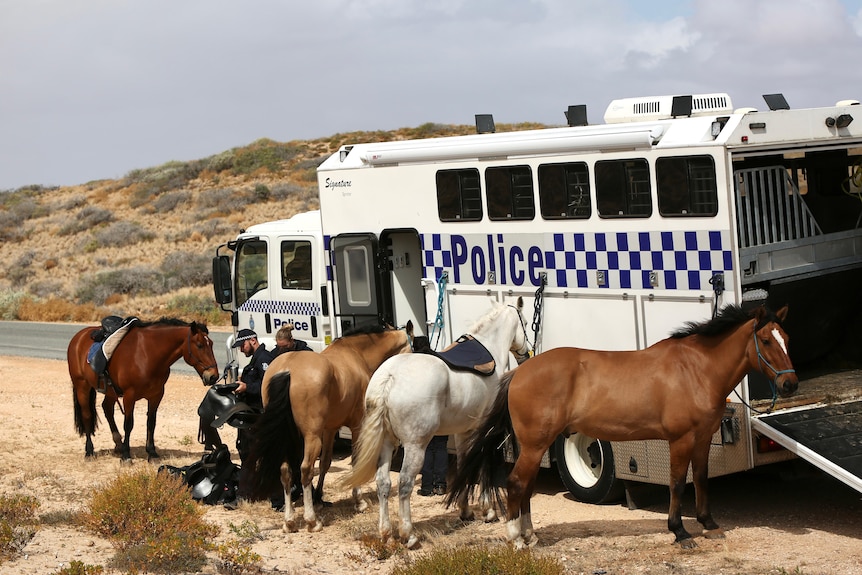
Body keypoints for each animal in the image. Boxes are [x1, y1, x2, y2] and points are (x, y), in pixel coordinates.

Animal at [69, 318, 221, 462]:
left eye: (212, 344)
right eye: (200, 345)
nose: (213, 376)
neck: (147, 354)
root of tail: (78, 337)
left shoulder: (156, 395)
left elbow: (151, 423)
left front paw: (152, 453)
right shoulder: (129, 396)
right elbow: (128, 424)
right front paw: (126, 456)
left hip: (111, 392)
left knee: (107, 409)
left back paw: (118, 444)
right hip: (82, 386)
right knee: (87, 415)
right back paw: (89, 451)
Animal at [246, 324, 416, 536]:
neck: (355, 354)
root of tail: (287, 370)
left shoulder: (330, 428)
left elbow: (326, 462)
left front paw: (319, 497)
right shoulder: (356, 426)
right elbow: (355, 461)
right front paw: (359, 501)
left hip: (287, 437)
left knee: (286, 471)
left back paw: (290, 521)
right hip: (311, 437)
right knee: (305, 470)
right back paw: (311, 521)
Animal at [340, 300, 528, 548]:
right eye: (526, 322)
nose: (527, 353)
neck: (490, 350)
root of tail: (389, 378)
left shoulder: (463, 431)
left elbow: (464, 466)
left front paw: (465, 510)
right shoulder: (483, 430)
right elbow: (481, 468)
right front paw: (488, 511)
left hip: (387, 443)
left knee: (383, 482)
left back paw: (386, 532)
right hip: (415, 446)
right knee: (404, 483)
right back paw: (408, 535)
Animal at [448, 304, 800, 552]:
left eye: (787, 338)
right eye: (766, 340)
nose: (790, 384)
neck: (695, 369)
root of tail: (518, 373)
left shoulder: (703, 438)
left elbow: (700, 479)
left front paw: (709, 524)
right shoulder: (681, 440)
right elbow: (677, 484)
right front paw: (680, 532)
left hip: (534, 446)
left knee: (526, 486)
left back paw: (530, 534)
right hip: (535, 446)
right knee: (517, 483)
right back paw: (516, 539)